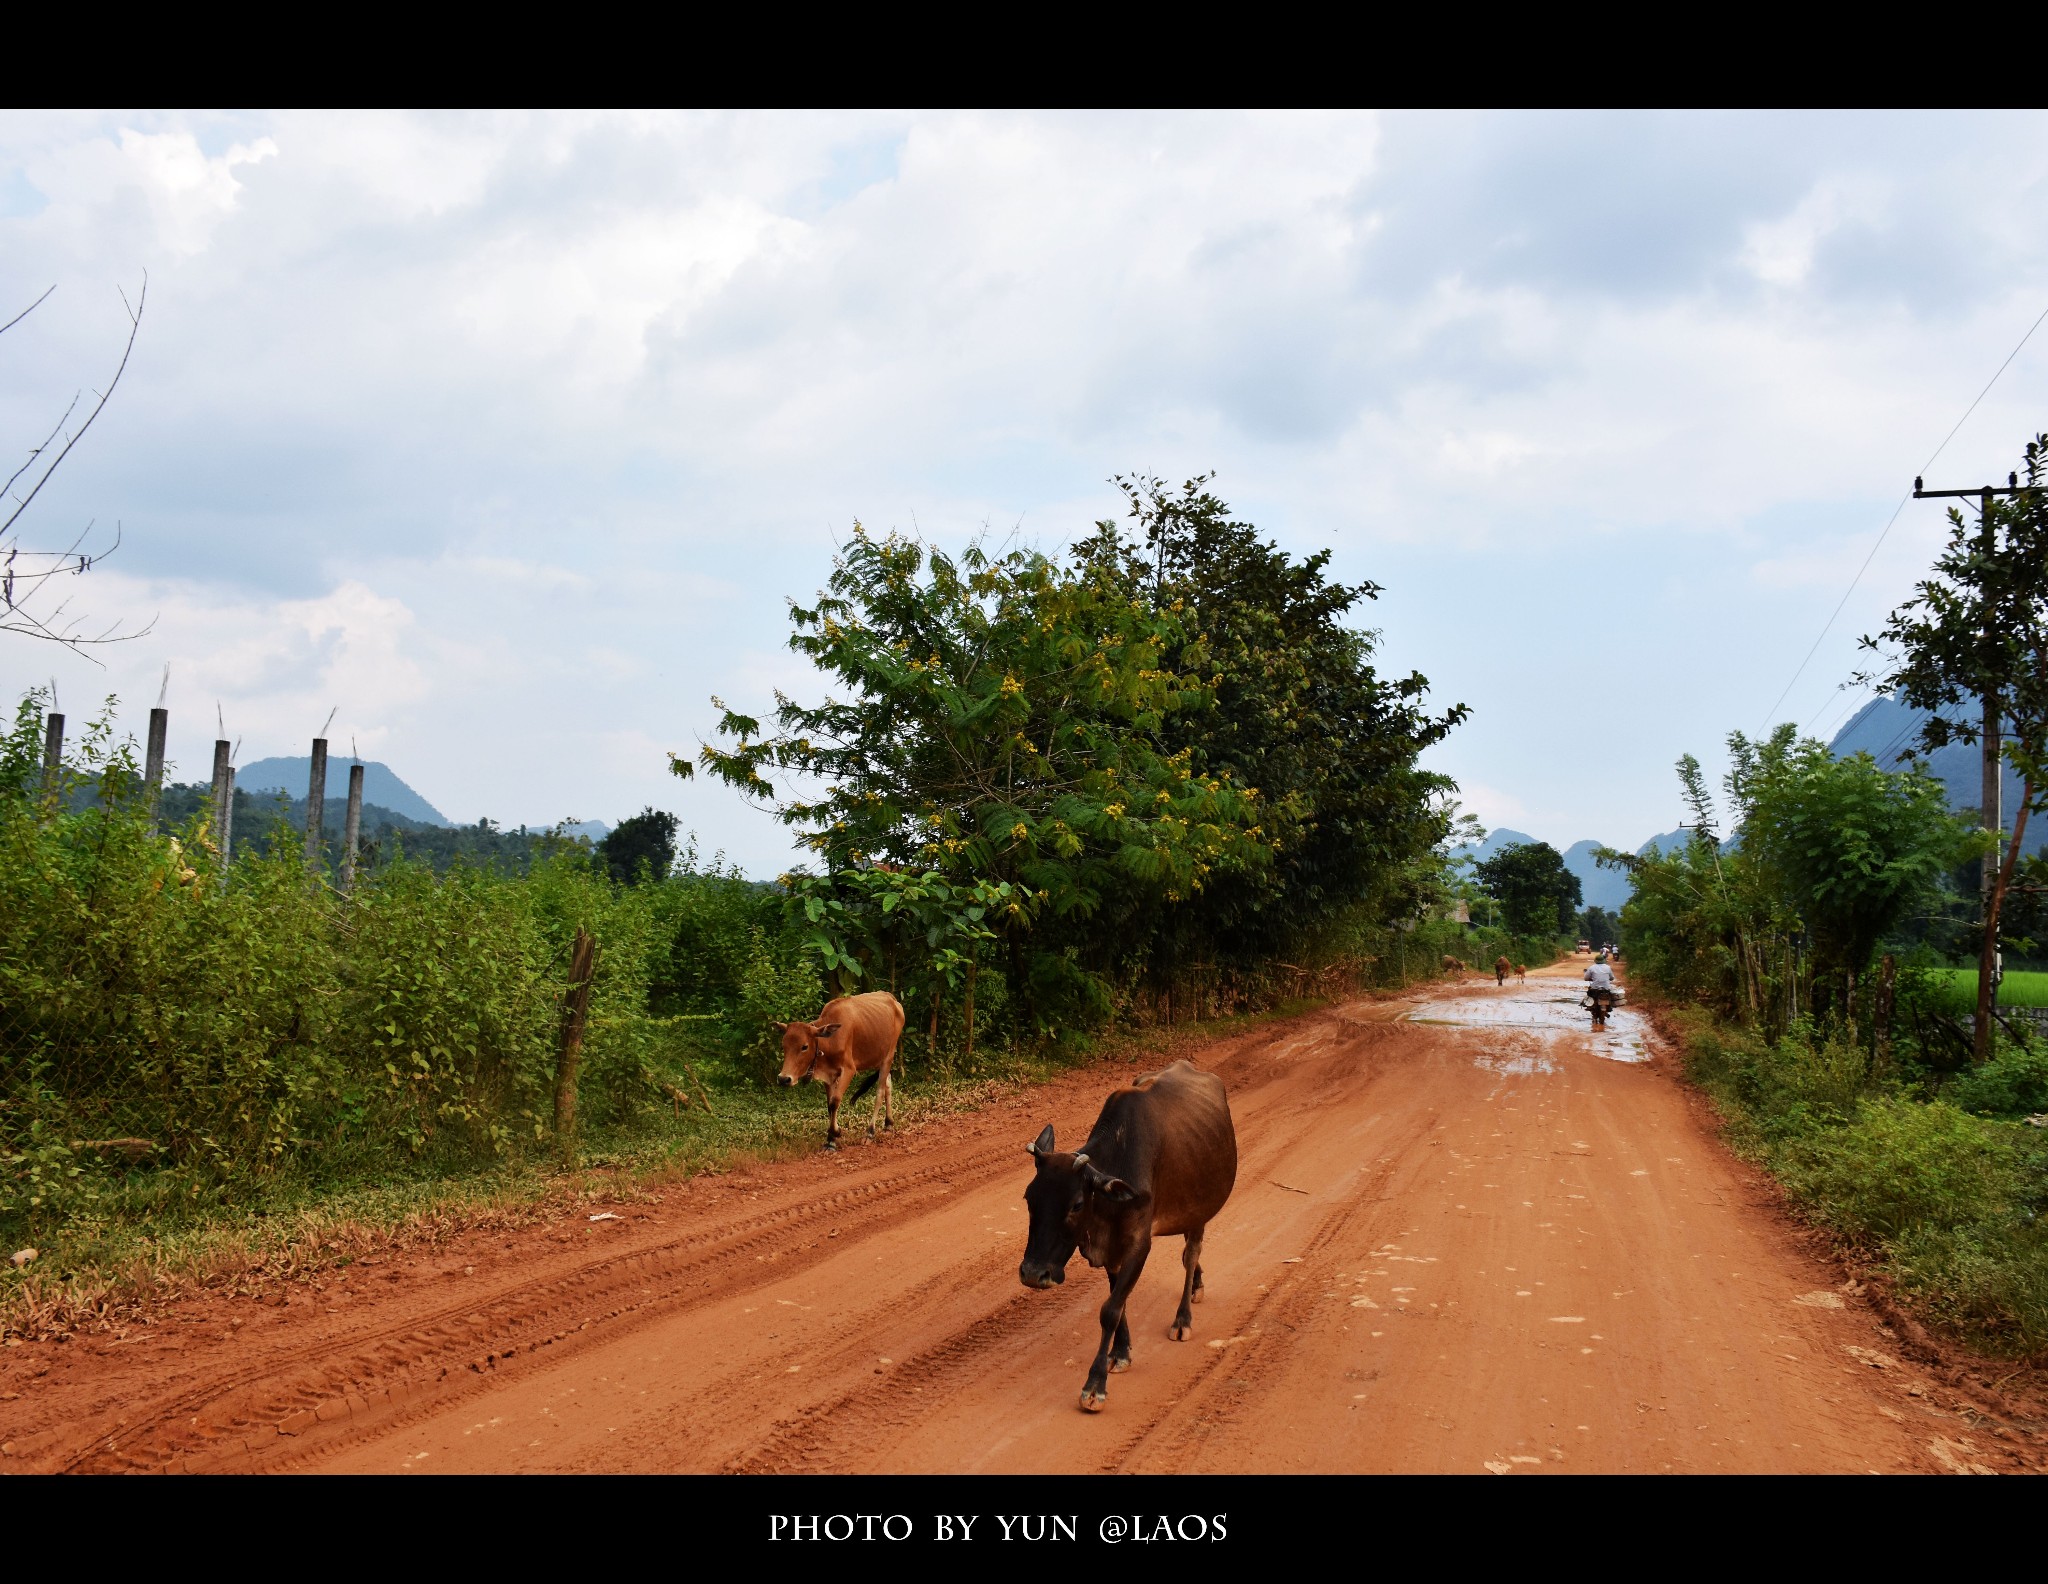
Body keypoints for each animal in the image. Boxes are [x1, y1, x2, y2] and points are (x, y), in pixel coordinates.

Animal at [774, 987, 905, 1147]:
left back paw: (870, 1131)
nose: (783, 1079)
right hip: (879, 1059)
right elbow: (829, 1104)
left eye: (804, 1047)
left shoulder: (848, 1070)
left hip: (888, 1056)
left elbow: (835, 1101)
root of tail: (892, 998)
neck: (830, 1040)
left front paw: (832, 1137)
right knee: (888, 1085)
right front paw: (833, 1135)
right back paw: (888, 1124)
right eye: (783, 1046)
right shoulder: (829, 1074)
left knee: (880, 1092)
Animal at [1011, 1065, 1228, 1409]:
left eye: (1077, 1204)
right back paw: (1197, 1284)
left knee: (1190, 1253)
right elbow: (1119, 1301)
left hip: (1200, 1209)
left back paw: (1183, 1319)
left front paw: (1095, 1384)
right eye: (1029, 1198)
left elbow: (1110, 1310)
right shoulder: (1109, 1253)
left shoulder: (1139, 1245)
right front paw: (1121, 1352)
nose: (1033, 1274)